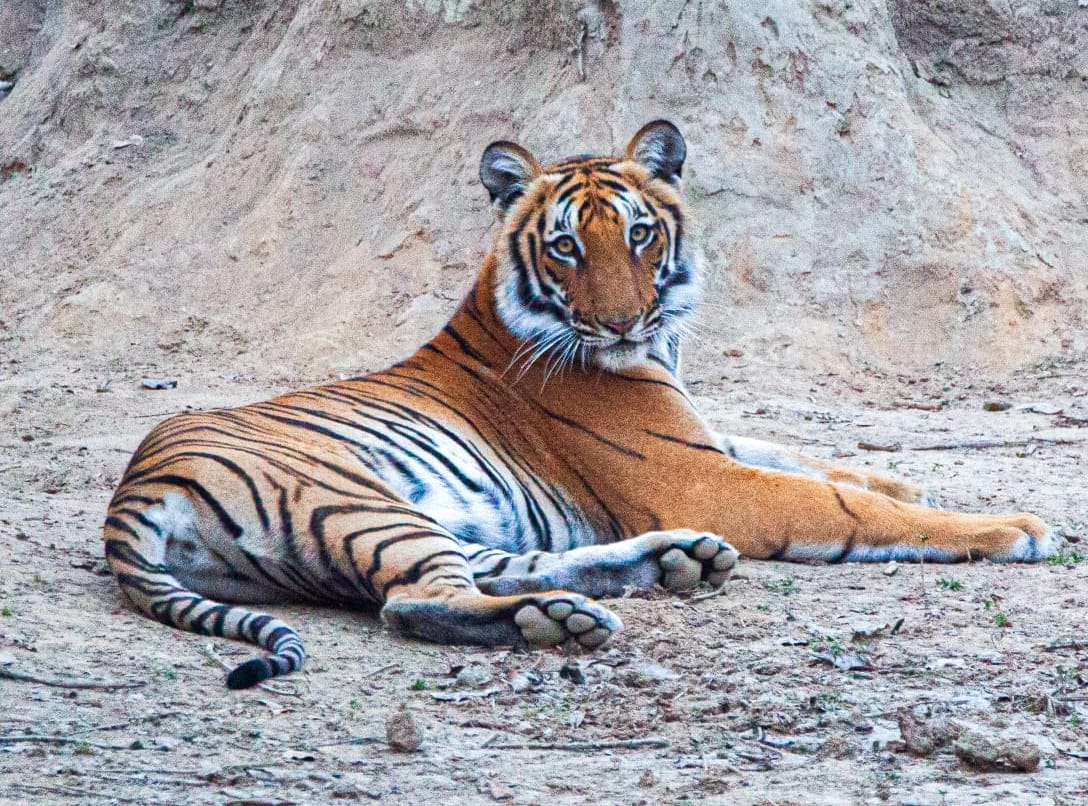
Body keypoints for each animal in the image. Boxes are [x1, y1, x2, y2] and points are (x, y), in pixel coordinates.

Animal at [104, 120, 1058, 689]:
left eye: (640, 232)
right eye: (565, 247)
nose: (623, 321)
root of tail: (132, 491)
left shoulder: (702, 437)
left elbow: (798, 452)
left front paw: (902, 481)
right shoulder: (699, 477)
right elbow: (835, 500)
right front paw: (1010, 526)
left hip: (408, 521)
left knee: (500, 568)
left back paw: (668, 566)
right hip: (356, 499)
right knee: (415, 603)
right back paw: (562, 619)